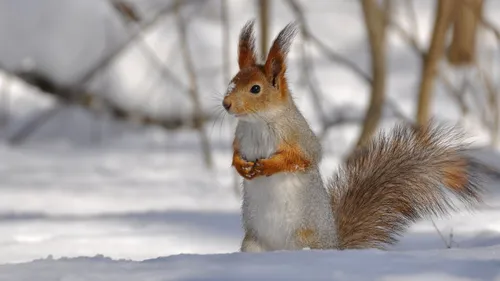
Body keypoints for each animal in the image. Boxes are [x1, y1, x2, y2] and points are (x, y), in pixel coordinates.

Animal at [221, 20, 482, 252]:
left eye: (256, 89)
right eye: (231, 82)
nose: (226, 104)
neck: (257, 122)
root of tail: (335, 246)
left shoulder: (300, 136)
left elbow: (302, 158)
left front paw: (268, 166)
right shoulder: (240, 137)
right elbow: (235, 153)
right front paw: (241, 166)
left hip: (304, 239)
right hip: (252, 244)